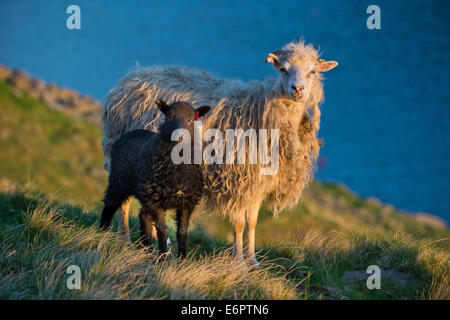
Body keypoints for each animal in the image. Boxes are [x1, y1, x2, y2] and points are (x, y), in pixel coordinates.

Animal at [102, 39, 338, 264]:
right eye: (283, 69)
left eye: (312, 72)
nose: (297, 89)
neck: (261, 113)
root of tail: (132, 77)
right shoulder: (236, 180)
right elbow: (239, 224)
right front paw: (239, 263)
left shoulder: (258, 185)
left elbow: (252, 222)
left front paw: (253, 262)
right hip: (125, 161)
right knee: (123, 200)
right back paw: (123, 238)